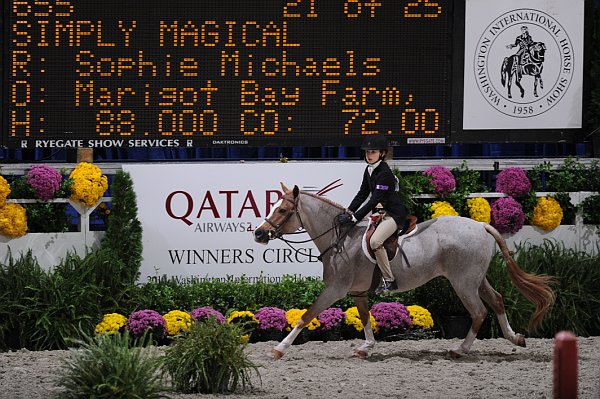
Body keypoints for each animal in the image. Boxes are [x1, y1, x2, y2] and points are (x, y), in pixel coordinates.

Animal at [252, 184, 552, 360]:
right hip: (476, 279)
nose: (259, 234)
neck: (341, 239)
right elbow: (365, 318)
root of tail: (481, 225)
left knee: (479, 312)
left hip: (463, 282)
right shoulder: (358, 292)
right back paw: (515, 337)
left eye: (283, 210)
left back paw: (460, 349)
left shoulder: (335, 289)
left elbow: (307, 315)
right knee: (497, 300)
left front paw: (279, 349)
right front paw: (366, 347)